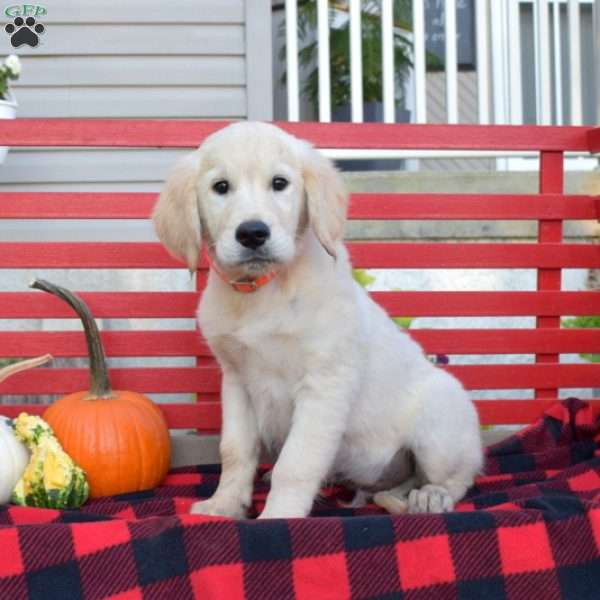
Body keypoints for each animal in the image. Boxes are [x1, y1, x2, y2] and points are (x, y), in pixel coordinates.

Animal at [152, 123, 486, 520]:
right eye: (221, 187)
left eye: (279, 183)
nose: (252, 233)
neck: (263, 291)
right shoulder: (236, 380)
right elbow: (235, 451)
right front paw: (225, 504)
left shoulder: (324, 384)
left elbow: (295, 464)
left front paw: (278, 517)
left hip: (440, 420)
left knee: (457, 477)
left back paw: (432, 496)